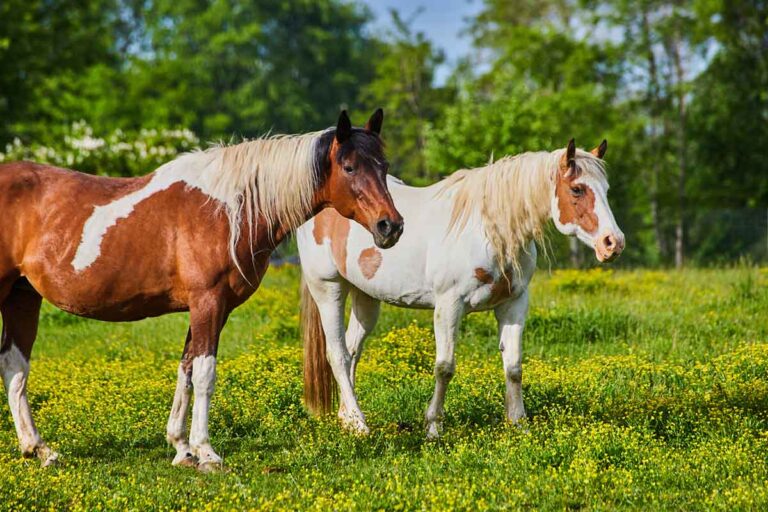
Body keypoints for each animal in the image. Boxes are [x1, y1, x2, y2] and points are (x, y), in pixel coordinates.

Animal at [0, 109, 403, 471]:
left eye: (383, 165)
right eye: (349, 167)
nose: (391, 226)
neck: (228, 209)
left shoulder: (212, 309)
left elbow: (188, 370)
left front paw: (182, 448)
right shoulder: (207, 302)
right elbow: (206, 374)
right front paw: (207, 452)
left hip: (22, 297)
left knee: (14, 364)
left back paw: (39, 449)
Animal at [298, 138, 624, 438]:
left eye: (606, 190)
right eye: (577, 189)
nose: (613, 243)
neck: (491, 230)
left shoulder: (514, 304)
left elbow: (514, 367)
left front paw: (519, 425)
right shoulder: (449, 305)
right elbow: (445, 367)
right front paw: (433, 428)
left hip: (365, 297)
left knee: (352, 350)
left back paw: (347, 419)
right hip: (328, 289)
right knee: (338, 355)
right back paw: (359, 425)